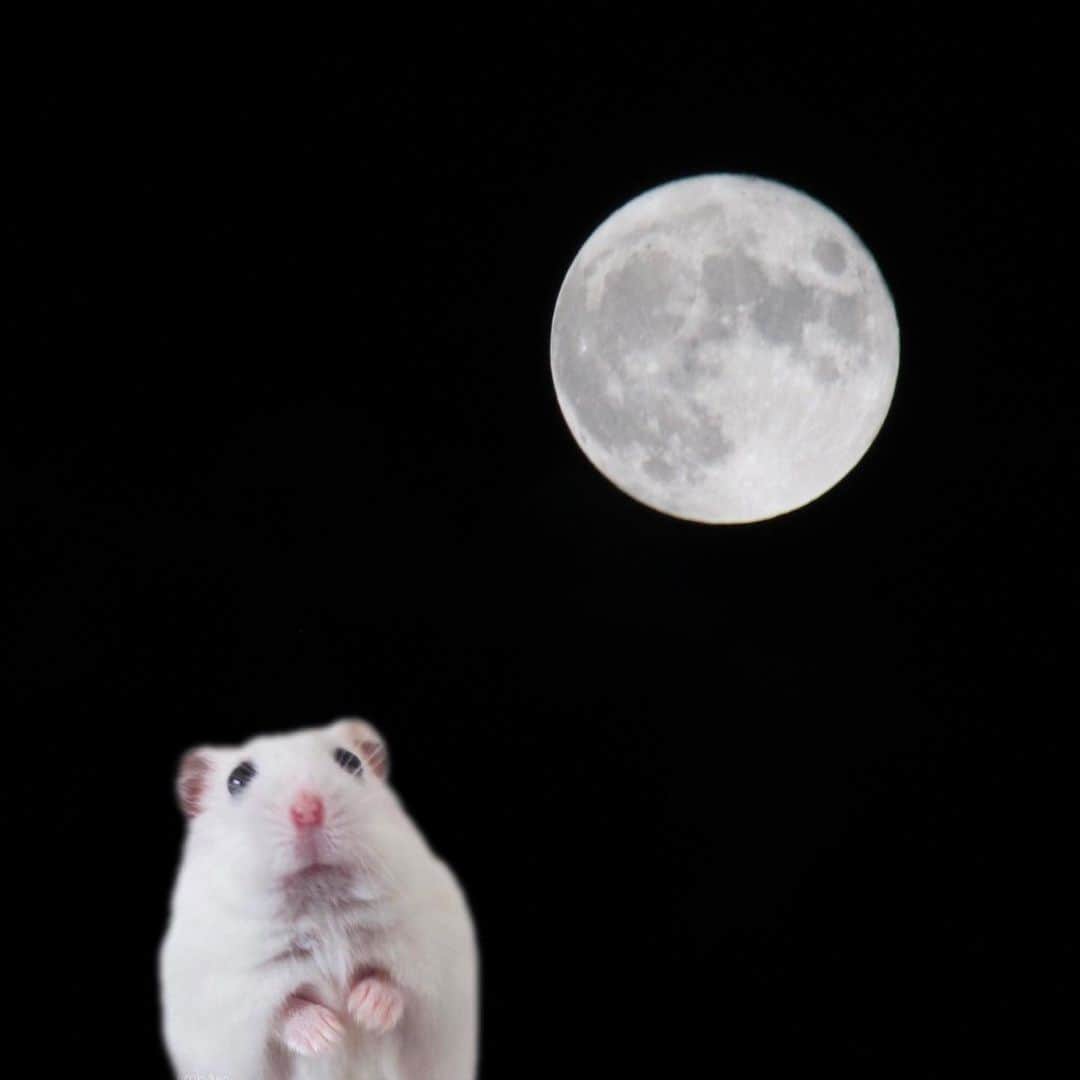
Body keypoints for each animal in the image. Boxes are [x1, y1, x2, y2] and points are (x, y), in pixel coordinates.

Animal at [159, 717, 479, 1080]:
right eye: (237, 779)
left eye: (350, 761)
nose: (308, 811)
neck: (318, 896)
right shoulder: (230, 994)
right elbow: (285, 1010)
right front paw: (329, 1033)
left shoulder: (432, 958)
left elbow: (395, 984)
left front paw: (363, 1010)